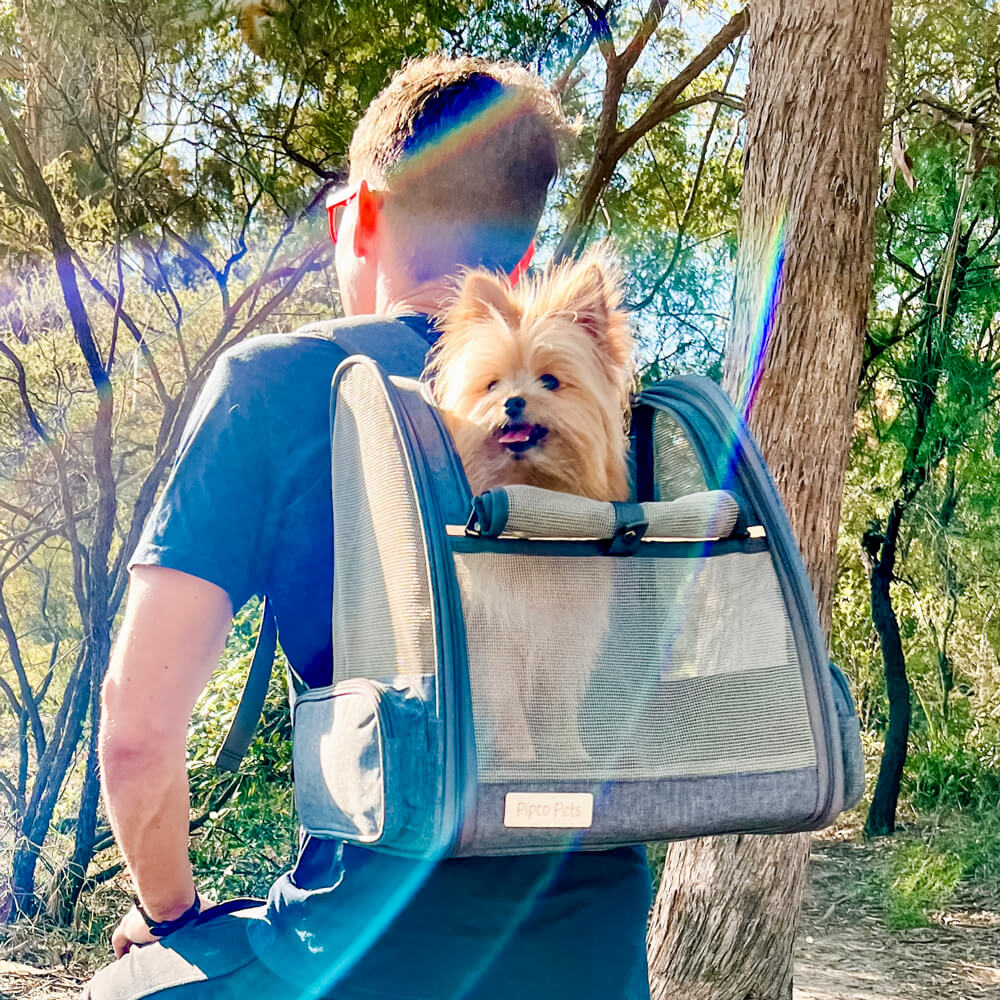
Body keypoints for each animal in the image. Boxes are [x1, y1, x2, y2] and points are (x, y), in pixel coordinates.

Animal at [428, 250, 632, 764]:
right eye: (491, 385)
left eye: (551, 381)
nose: (514, 402)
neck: (535, 496)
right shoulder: (494, 643)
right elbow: (505, 705)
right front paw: (520, 757)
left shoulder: (563, 638)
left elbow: (557, 706)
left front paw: (568, 754)